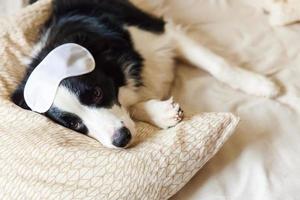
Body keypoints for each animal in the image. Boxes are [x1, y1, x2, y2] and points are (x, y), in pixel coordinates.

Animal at [11, 0, 278, 148]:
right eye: (74, 124)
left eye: (96, 93)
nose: (121, 140)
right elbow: (133, 106)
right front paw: (161, 113)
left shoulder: (161, 34)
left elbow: (218, 65)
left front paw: (259, 84)